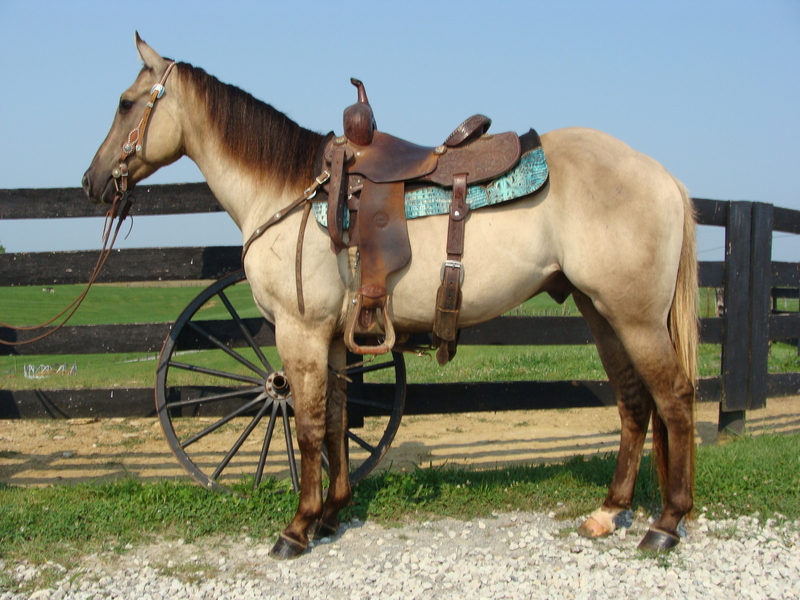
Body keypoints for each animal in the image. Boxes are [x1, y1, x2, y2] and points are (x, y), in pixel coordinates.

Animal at [83, 34, 698, 559]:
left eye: (125, 102)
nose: (92, 182)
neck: (290, 192)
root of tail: (664, 177)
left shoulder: (300, 333)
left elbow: (307, 425)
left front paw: (297, 528)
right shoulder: (332, 338)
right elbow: (335, 421)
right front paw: (332, 514)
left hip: (636, 318)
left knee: (674, 399)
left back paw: (666, 523)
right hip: (603, 313)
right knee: (634, 402)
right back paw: (611, 511)